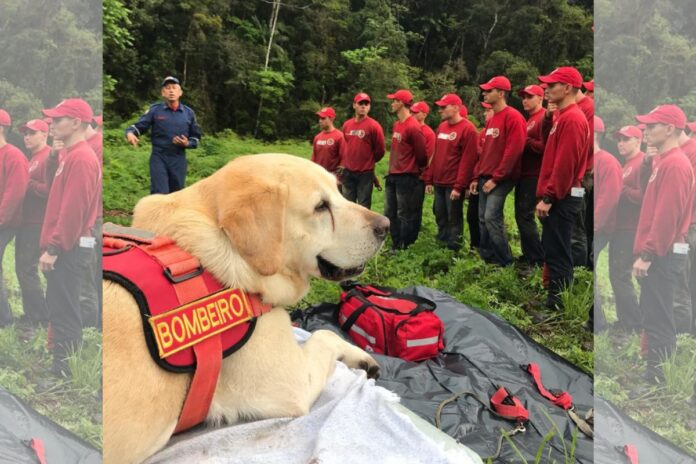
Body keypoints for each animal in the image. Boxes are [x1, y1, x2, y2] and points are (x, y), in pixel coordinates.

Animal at [103, 154, 388, 462]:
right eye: (320, 207)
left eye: (339, 191)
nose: (385, 225)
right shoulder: (295, 383)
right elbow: (324, 335)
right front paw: (360, 356)